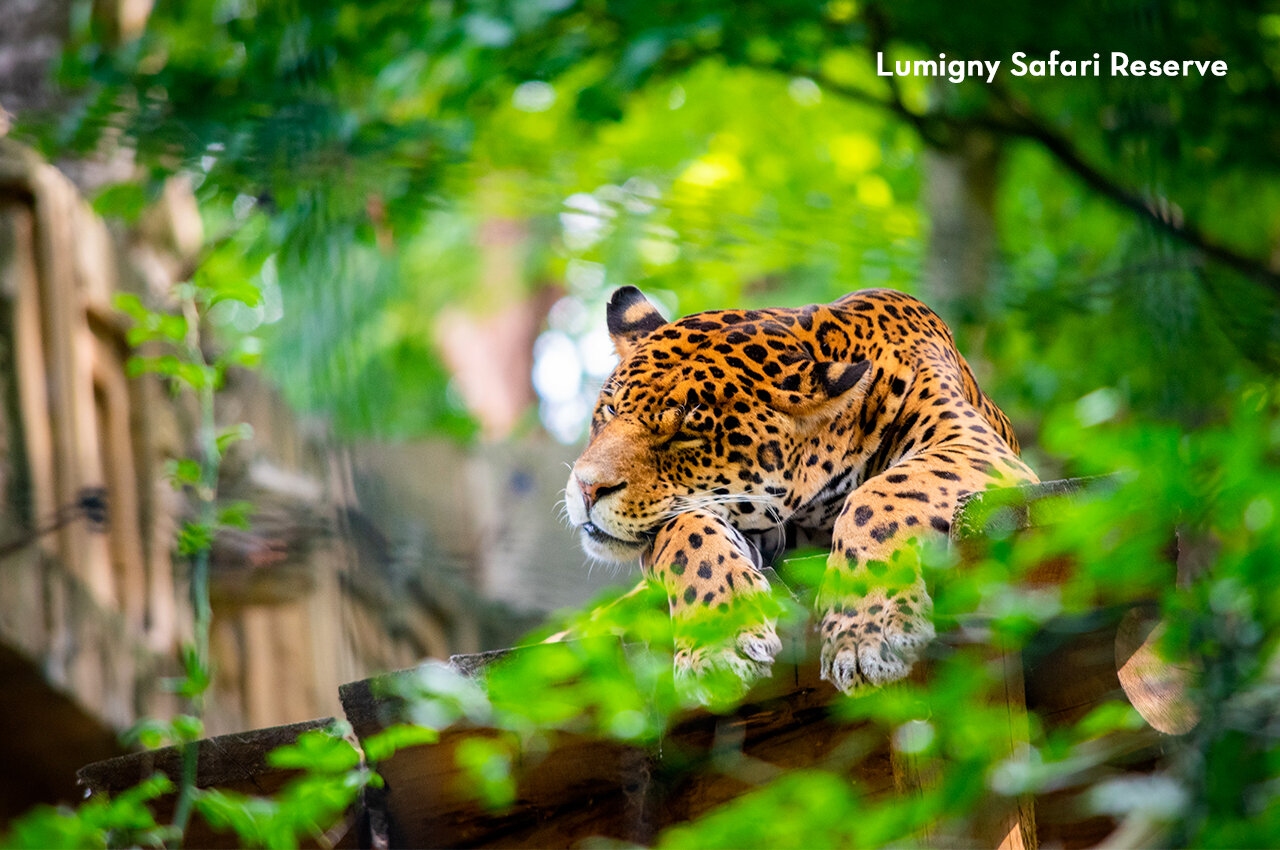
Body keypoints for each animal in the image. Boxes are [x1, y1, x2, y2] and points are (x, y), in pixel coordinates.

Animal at [564, 286, 1038, 696]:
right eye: (609, 409)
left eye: (686, 434)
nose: (587, 488)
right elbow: (684, 530)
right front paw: (718, 643)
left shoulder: (970, 446)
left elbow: (880, 495)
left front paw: (866, 631)